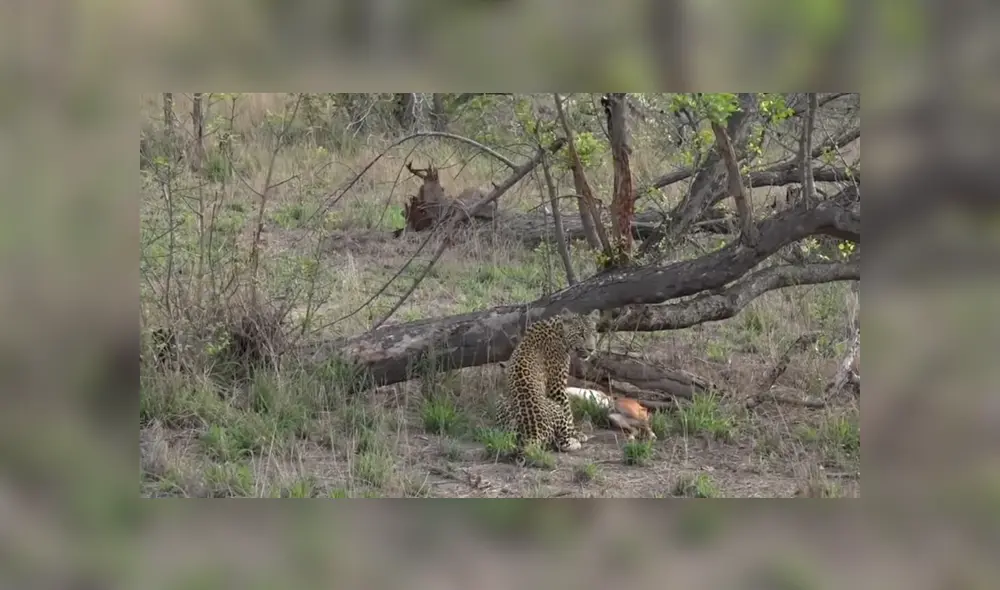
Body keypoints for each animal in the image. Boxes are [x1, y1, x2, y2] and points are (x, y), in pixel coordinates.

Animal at [496, 308, 602, 455]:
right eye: (580, 334)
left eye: (594, 333)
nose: (591, 349)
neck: (559, 331)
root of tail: (533, 433)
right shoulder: (557, 387)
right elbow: (568, 412)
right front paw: (577, 434)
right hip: (555, 408)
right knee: (561, 442)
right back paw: (574, 442)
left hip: (500, 402)